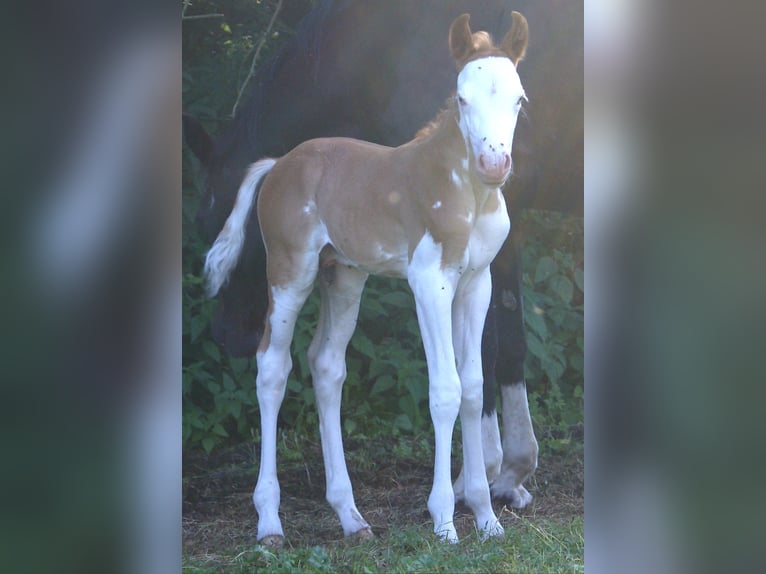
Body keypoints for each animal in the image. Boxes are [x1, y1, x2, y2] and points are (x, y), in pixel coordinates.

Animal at [185, 0, 582, 513]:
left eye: (209, 220)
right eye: (462, 99)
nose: (226, 335)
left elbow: (487, 350)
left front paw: (482, 477)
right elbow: (508, 344)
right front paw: (510, 471)